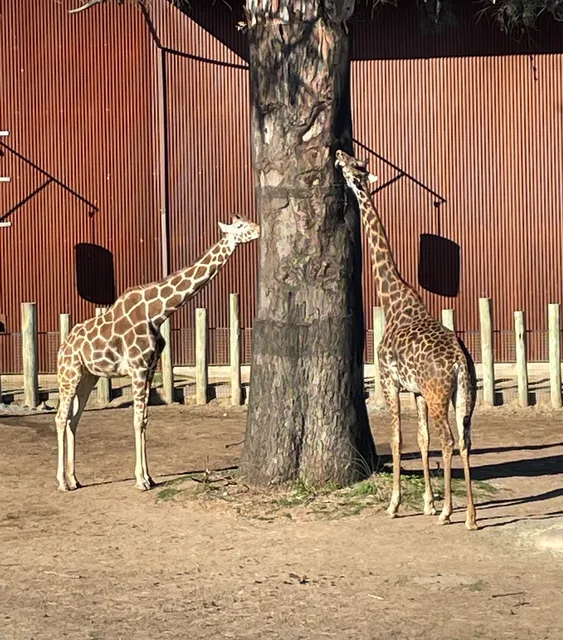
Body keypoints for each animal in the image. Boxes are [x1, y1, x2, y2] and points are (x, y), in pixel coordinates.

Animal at [55, 214, 260, 493]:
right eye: (240, 227)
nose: (258, 229)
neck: (158, 312)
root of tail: (62, 348)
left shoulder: (150, 368)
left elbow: (145, 420)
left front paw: (149, 477)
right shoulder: (138, 367)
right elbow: (136, 419)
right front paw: (141, 480)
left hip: (88, 376)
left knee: (73, 419)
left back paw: (74, 479)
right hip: (69, 374)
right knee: (60, 417)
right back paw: (61, 482)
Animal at [335, 149, 478, 531]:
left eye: (355, 166)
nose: (337, 153)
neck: (393, 298)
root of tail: (460, 363)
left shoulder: (389, 382)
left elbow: (398, 440)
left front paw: (395, 504)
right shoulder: (416, 392)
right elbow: (421, 439)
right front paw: (427, 502)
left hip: (440, 394)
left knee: (449, 440)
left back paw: (450, 513)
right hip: (464, 395)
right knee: (465, 440)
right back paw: (469, 516)